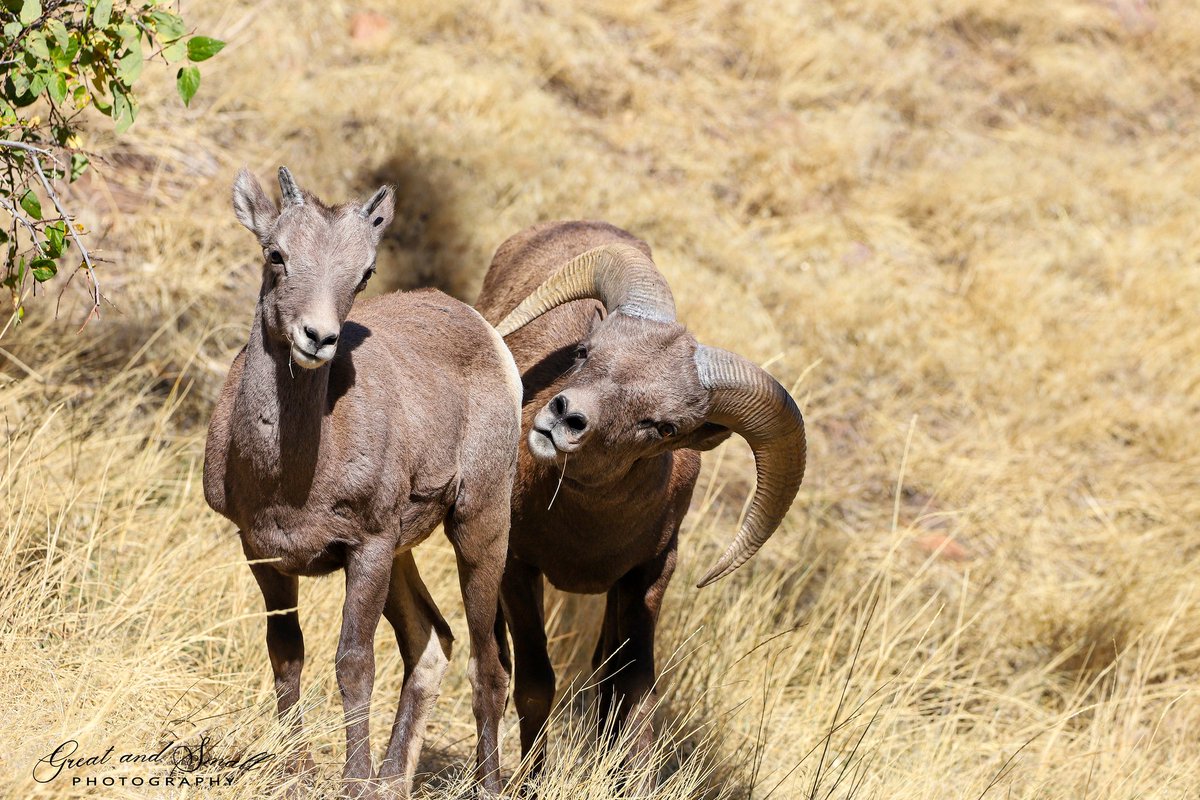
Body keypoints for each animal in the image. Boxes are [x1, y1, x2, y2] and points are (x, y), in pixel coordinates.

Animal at [203, 167, 521, 799]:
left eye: (364, 272)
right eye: (276, 254)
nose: (317, 337)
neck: (291, 477)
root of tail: (488, 337)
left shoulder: (366, 549)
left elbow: (354, 663)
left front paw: (352, 781)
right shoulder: (262, 554)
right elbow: (287, 656)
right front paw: (296, 770)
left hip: (477, 529)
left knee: (488, 665)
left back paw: (484, 784)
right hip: (404, 555)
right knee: (432, 643)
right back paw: (392, 780)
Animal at [474, 220, 807, 786]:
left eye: (664, 426)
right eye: (585, 353)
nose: (565, 418)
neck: (582, 538)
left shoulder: (647, 577)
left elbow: (631, 692)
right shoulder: (518, 567)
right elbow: (537, 683)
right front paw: (530, 782)